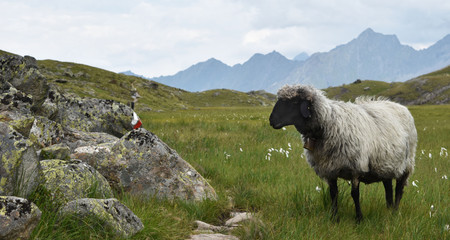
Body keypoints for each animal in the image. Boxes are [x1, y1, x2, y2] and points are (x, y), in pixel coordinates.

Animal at [268, 84, 418, 221]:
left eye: (294, 102)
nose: (271, 121)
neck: (328, 123)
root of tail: (399, 105)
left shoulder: (356, 167)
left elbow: (355, 194)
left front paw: (359, 219)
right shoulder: (329, 169)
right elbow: (333, 194)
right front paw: (334, 218)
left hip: (407, 163)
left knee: (399, 189)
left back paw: (395, 212)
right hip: (385, 164)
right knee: (388, 188)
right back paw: (389, 209)